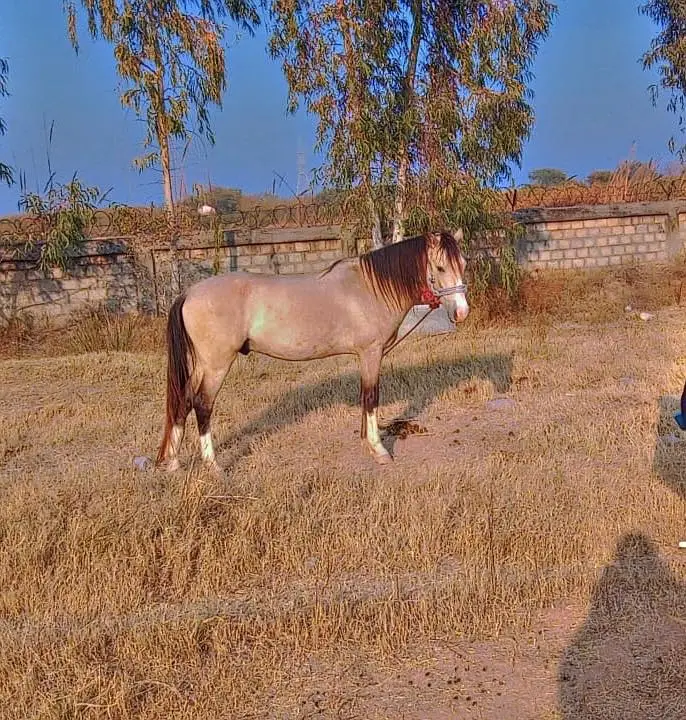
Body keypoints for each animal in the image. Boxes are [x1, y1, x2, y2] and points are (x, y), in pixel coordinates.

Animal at [155, 230, 469, 474]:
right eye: (440, 268)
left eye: (463, 264)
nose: (462, 312)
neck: (372, 288)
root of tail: (189, 293)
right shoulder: (371, 353)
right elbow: (371, 398)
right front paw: (379, 450)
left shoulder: (364, 356)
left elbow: (364, 398)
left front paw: (366, 442)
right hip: (216, 364)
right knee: (202, 404)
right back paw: (213, 465)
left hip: (200, 365)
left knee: (182, 401)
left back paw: (173, 463)